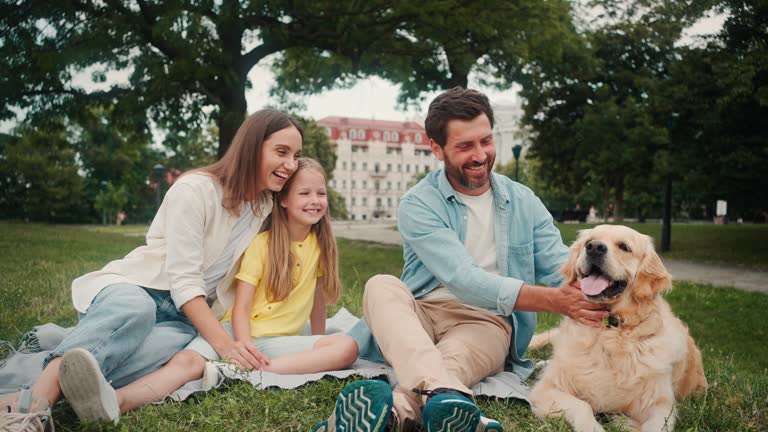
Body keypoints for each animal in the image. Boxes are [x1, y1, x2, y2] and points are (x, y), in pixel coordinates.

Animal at [532, 224, 704, 432]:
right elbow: (583, 406)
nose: (594, 247)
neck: (610, 331)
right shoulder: (547, 388)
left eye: (624, 247)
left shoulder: (661, 406)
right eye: (588, 241)